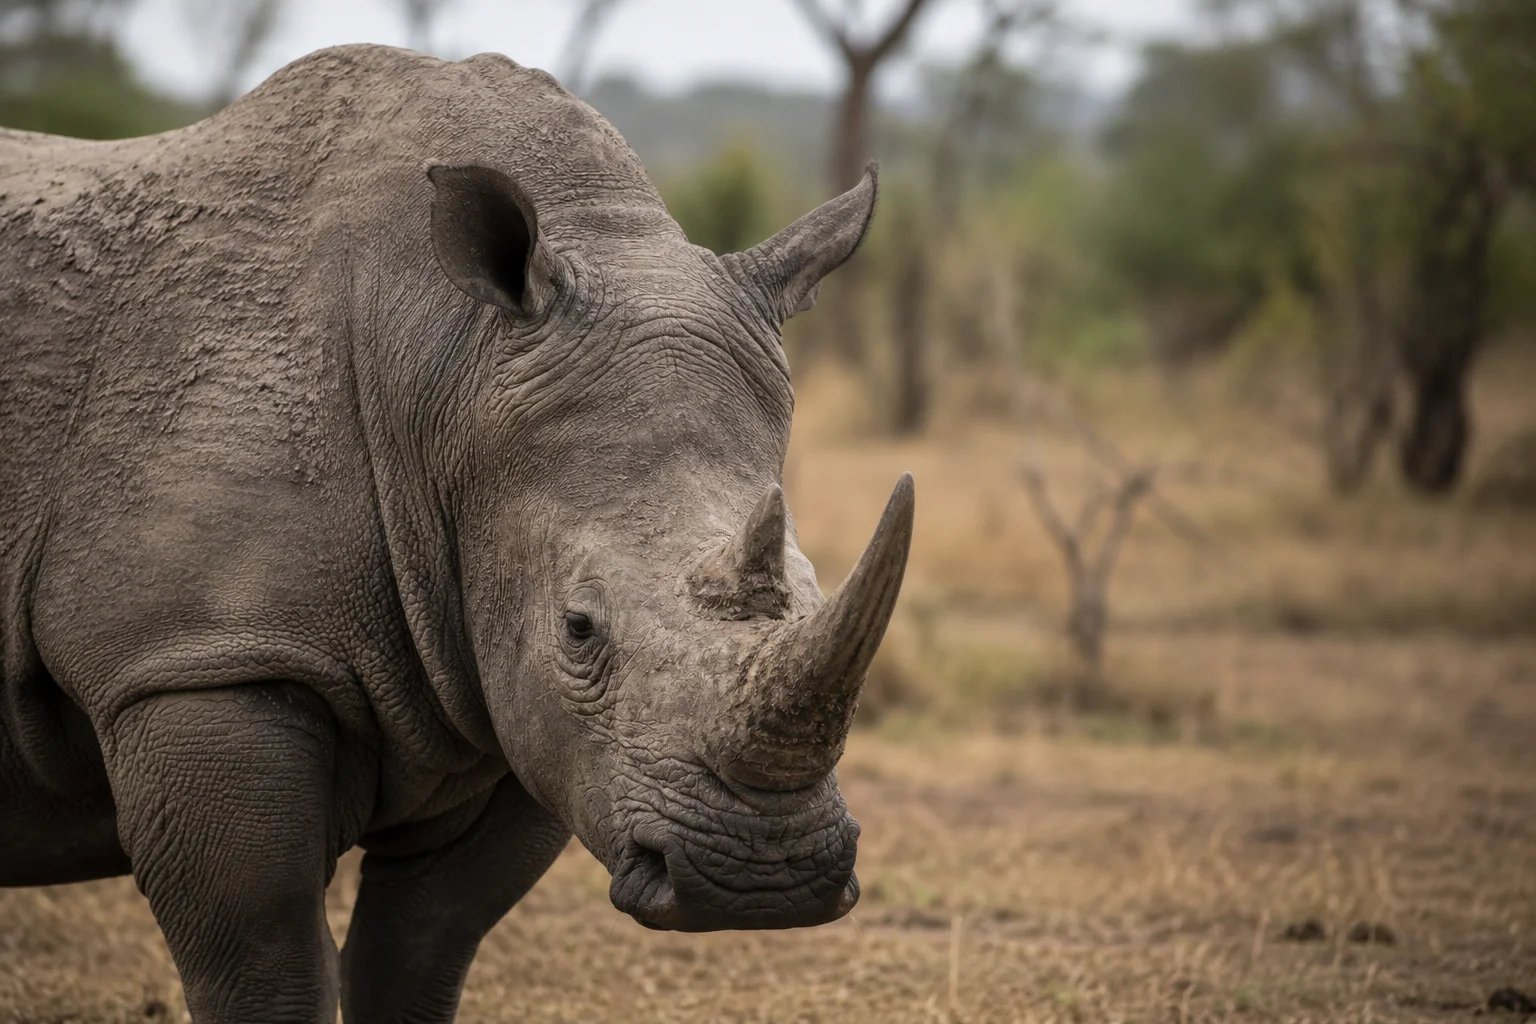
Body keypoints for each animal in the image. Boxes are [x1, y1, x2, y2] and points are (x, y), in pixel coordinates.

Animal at [0, 44, 914, 1024]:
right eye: (578, 628)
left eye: (815, 592)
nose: (761, 878)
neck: (445, 358)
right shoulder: (194, 659)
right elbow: (263, 957)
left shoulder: (513, 705)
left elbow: (422, 948)